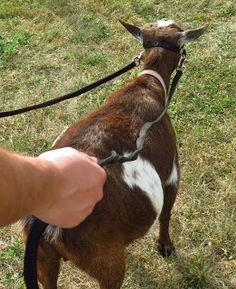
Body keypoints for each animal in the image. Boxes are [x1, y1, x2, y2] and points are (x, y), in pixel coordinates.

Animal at [22, 19, 206, 288]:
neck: (148, 84)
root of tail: (47, 220)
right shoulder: (171, 172)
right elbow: (166, 214)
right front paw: (165, 248)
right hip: (105, 261)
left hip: (43, 259)